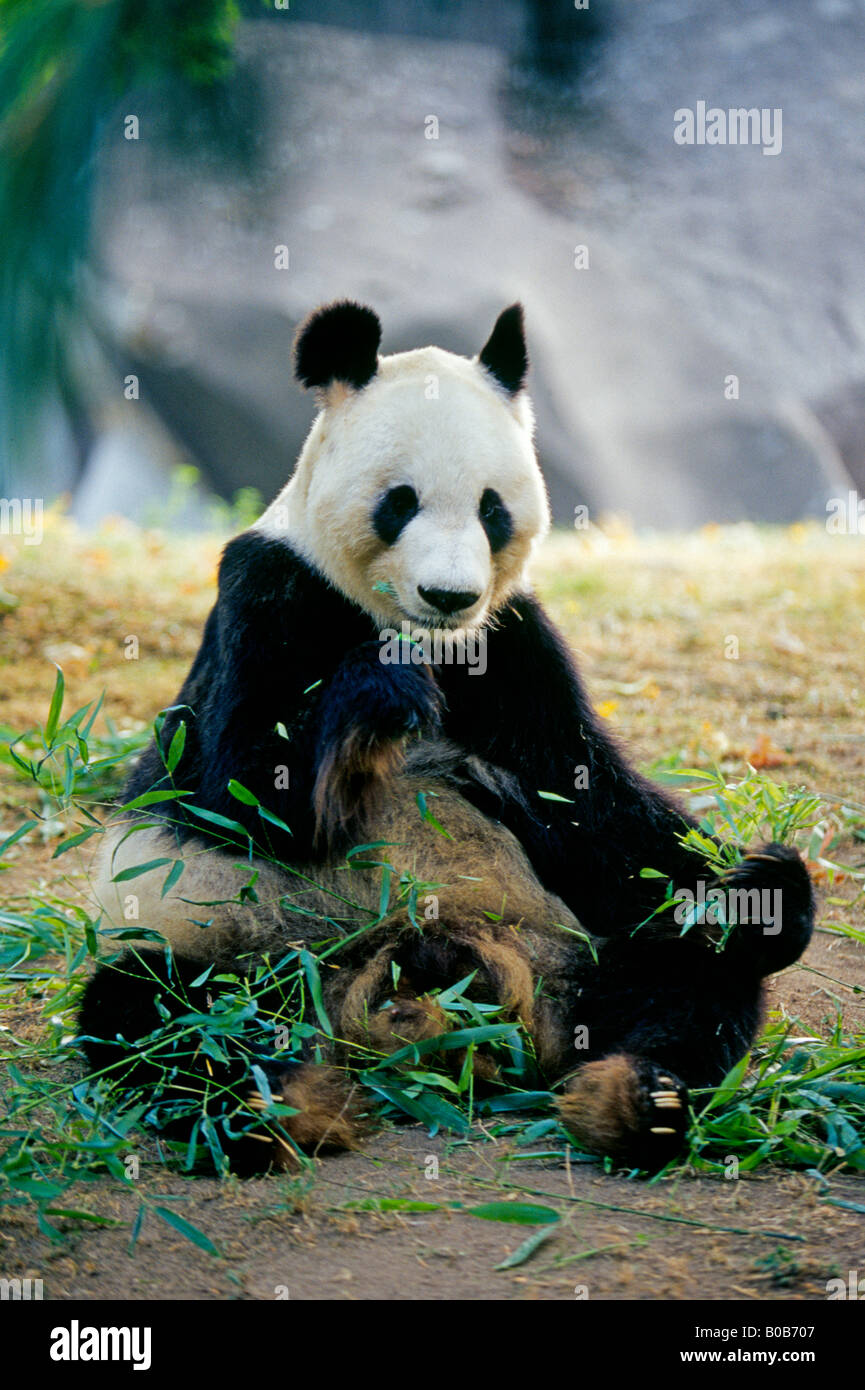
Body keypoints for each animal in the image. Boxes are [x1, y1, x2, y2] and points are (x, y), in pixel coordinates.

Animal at [79, 300, 815, 1173]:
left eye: (493, 508)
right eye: (399, 501)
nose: (449, 595)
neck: (419, 635)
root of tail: (414, 994)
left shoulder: (510, 645)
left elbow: (594, 806)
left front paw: (764, 889)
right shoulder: (268, 591)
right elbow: (243, 793)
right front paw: (375, 704)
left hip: (575, 959)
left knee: (693, 979)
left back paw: (636, 1100)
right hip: (242, 957)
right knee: (155, 1010)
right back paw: (277, 1112)